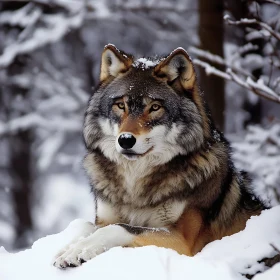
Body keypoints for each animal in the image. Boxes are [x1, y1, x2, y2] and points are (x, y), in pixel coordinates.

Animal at [52, 44, 264, 268]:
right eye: (121, 105)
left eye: (154, 107)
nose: (125, 140)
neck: (135, 184)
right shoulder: (104, 217)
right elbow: (86, 226)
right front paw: (68, 248)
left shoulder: (182, 240)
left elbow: (120, 227)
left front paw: (79, 249)